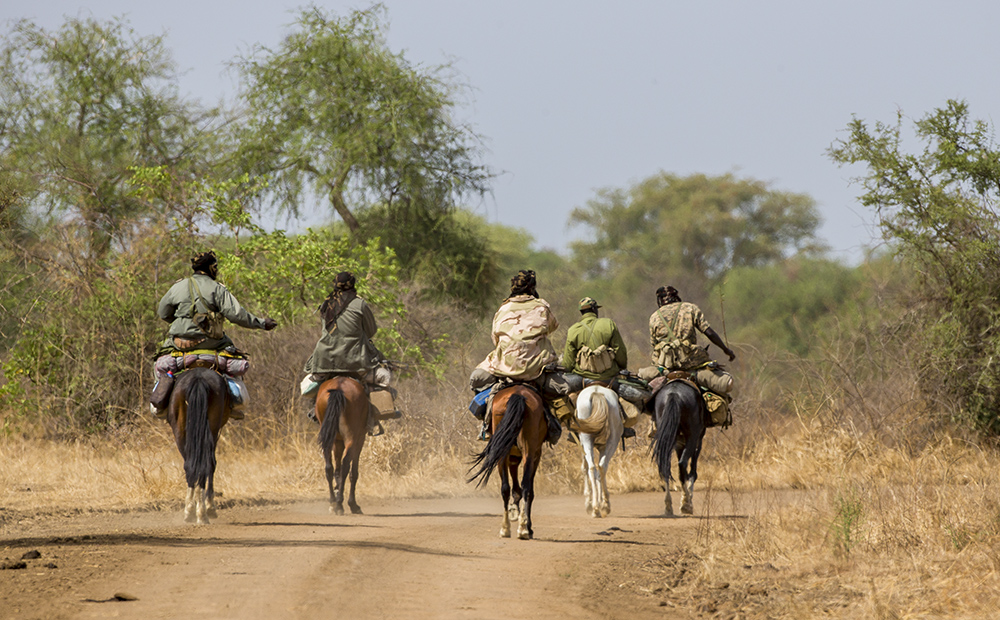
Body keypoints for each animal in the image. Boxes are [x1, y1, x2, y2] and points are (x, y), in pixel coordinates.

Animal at [167, 366, 231, 524]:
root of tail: (198, 378)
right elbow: (212, 465)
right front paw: (209, 506)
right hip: (211, 428)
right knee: (204, 463)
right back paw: (202, 512)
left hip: (180, 429)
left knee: (190, 464)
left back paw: (192, 512)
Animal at [316, 376, 372, 516]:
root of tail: (338, 388)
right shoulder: (360, 438)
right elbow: (353, 472)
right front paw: (353, 505)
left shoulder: (337, 441)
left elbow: (337, 469)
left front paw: (336, 496)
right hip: (351, 438)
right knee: (346, 465)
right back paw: (341, 504)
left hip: (328, 438)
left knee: (329, 467)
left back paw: (333, 502)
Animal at [468, 386, 548, 540]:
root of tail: (518, 394)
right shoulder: (535, 454)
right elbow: (525, 489)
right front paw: (526, 523)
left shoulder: (513, 454)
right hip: (528, 450)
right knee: (526, 487)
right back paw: (523, 529)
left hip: (503, 451)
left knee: (505, 487)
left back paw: (506, 528)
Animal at [576, 386, 620, 516]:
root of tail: (596, 391)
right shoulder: (600, 447)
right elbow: (597, 474)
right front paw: (598, 502)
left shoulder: (581, 443)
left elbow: (584, 468)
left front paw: (589, 503)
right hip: (612, 439)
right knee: (600, 466)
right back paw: (602, 506)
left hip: (586, 438)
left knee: (593, 467)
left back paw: (597, 507)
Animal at [652, 380, 708, 516]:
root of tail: (674, 394)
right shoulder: (698, 440)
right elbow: (692, 472)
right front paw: (687, 499)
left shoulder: (678, 442)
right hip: (693, 436)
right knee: (682, 464)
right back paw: (686, 504)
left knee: (666, 466)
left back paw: (668, 507)